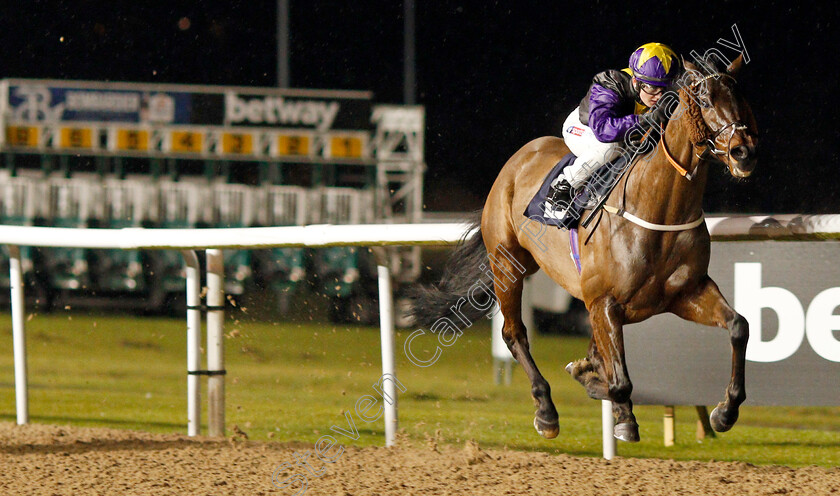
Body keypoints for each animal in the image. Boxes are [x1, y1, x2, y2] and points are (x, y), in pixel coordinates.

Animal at [414, 54, 760, 442]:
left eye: (740, 97)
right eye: (704, 101)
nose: (743, 152)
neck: (657, 210)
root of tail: (519, 157)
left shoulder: (687, 292)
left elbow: (739, 326)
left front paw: (725, 411)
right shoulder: (603, 301)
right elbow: (619, 381)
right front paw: (601, 393)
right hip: (506, 263)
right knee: (514, 333)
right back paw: (546, 411)